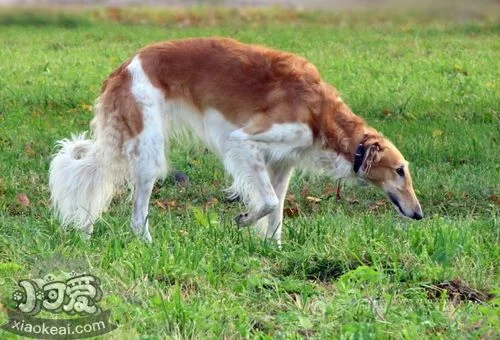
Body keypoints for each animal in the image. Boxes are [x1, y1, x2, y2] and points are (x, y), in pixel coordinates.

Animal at [48, 37, 422, 244]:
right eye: (400, 171)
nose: (419, 215)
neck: (320, 114)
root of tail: (123, 67)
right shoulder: (243, 142)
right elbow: (267, 203)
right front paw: (243, 219)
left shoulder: (282, 162)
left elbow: (277, 211)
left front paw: (274, 249)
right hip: (149, 155)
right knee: (137, 217)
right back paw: (148, 245)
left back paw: (87, 235)